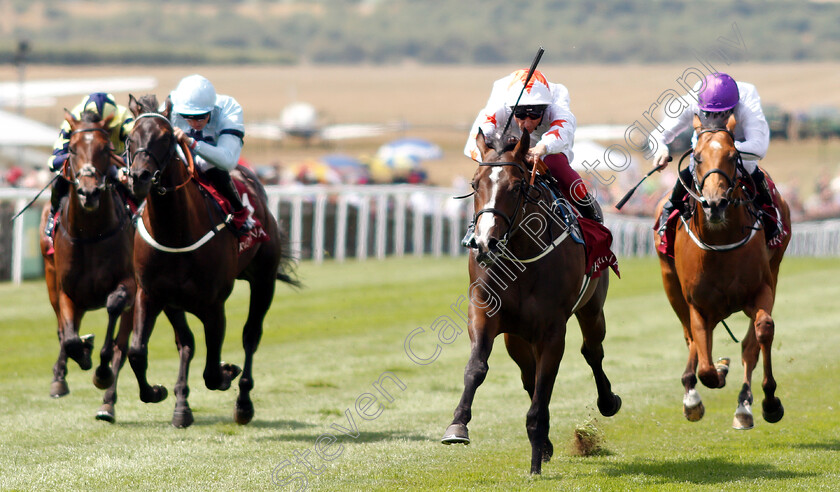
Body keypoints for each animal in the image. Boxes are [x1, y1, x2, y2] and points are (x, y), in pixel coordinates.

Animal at [38, 110, 135, 422]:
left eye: (106, 149)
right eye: (71, 148)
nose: (88, 193)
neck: (91, 233)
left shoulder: (130, 284)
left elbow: (115, 310)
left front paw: (101, 370)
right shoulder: (66, 291)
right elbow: (68, 338)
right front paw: (82, 352)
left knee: (121, 347)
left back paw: (107, 403)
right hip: (51, 280)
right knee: (63, 330)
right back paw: (60, 377)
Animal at [123, 95, 296, 426]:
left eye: (166, 138)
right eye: (129, 137)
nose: (139, 178)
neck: (175, 232)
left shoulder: (214, 305)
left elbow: (213, 372)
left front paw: (229, 372)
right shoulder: (150, 294)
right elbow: (137, 352)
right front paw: (157, 392)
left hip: (264, 280)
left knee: (251, 336)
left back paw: (244, 403)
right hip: (173, 302)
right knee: (186, 343)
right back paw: (181, 407)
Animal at [442, 130, 620, 472]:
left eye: (516, 186)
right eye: (474, 184)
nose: (485, 243)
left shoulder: (552, 330)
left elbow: (544, 386)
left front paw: (536, 458)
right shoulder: (485, 311)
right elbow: (477, 367)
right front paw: (458, 425)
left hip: (592, 308)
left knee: (592, 352)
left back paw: (607, 401)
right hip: (516, 336)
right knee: (528, 375)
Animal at [656, 113, 796, 428]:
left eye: (733, 156)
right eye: (696, 157)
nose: (715, 204)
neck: (720, 242)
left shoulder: (761, 290)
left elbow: (761, 332)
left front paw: (769, 401)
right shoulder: (697, 303)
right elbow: (706, 365)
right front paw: (714, 374)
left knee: (748, 344)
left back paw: (744, 405)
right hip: (670, 284)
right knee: (690, 336)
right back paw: (691, 392)